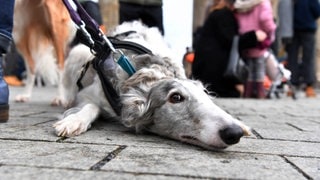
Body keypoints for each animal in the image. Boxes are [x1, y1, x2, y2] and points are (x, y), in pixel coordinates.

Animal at [53, 21, 251, 150]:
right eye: (176, 97)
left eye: (204, 93)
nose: (234, 132)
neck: (136, 74)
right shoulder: (88, 94)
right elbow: (90, 106)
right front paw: (73, 121)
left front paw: (243, 125)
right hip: (78, 54)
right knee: (64, 78)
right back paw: (61, 98)